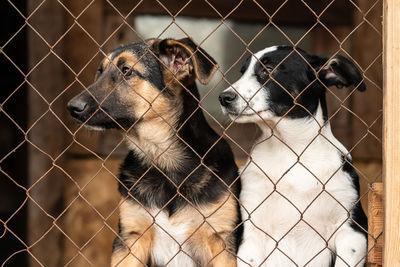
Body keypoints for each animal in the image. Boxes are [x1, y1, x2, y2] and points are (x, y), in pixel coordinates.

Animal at [67, 38, 241, 267]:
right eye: (100, 71)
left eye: (126, 70)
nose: (71, 107)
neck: (162, 158)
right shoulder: (130, 238)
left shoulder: (220, 239)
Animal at [220, 46, 368, 267]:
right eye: (242, 72)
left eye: (268, 69)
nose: (224, 98)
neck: (290, 149)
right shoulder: (251, 234)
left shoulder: (352, 231)